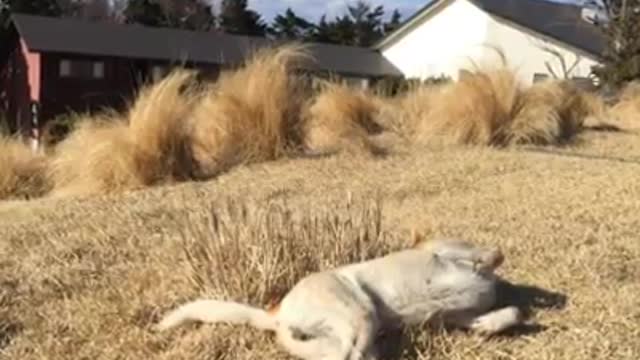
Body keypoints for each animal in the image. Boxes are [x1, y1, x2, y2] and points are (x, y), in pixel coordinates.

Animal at [156, 236, 524, 360]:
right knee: (351, 353)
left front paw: (489, 325)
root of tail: (278, 311)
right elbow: (491, 253)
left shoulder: (457, 315)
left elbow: (510, 313)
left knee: (346, 354)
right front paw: (485, 260)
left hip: (348, 329)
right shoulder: (437, 246)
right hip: (358, 313)